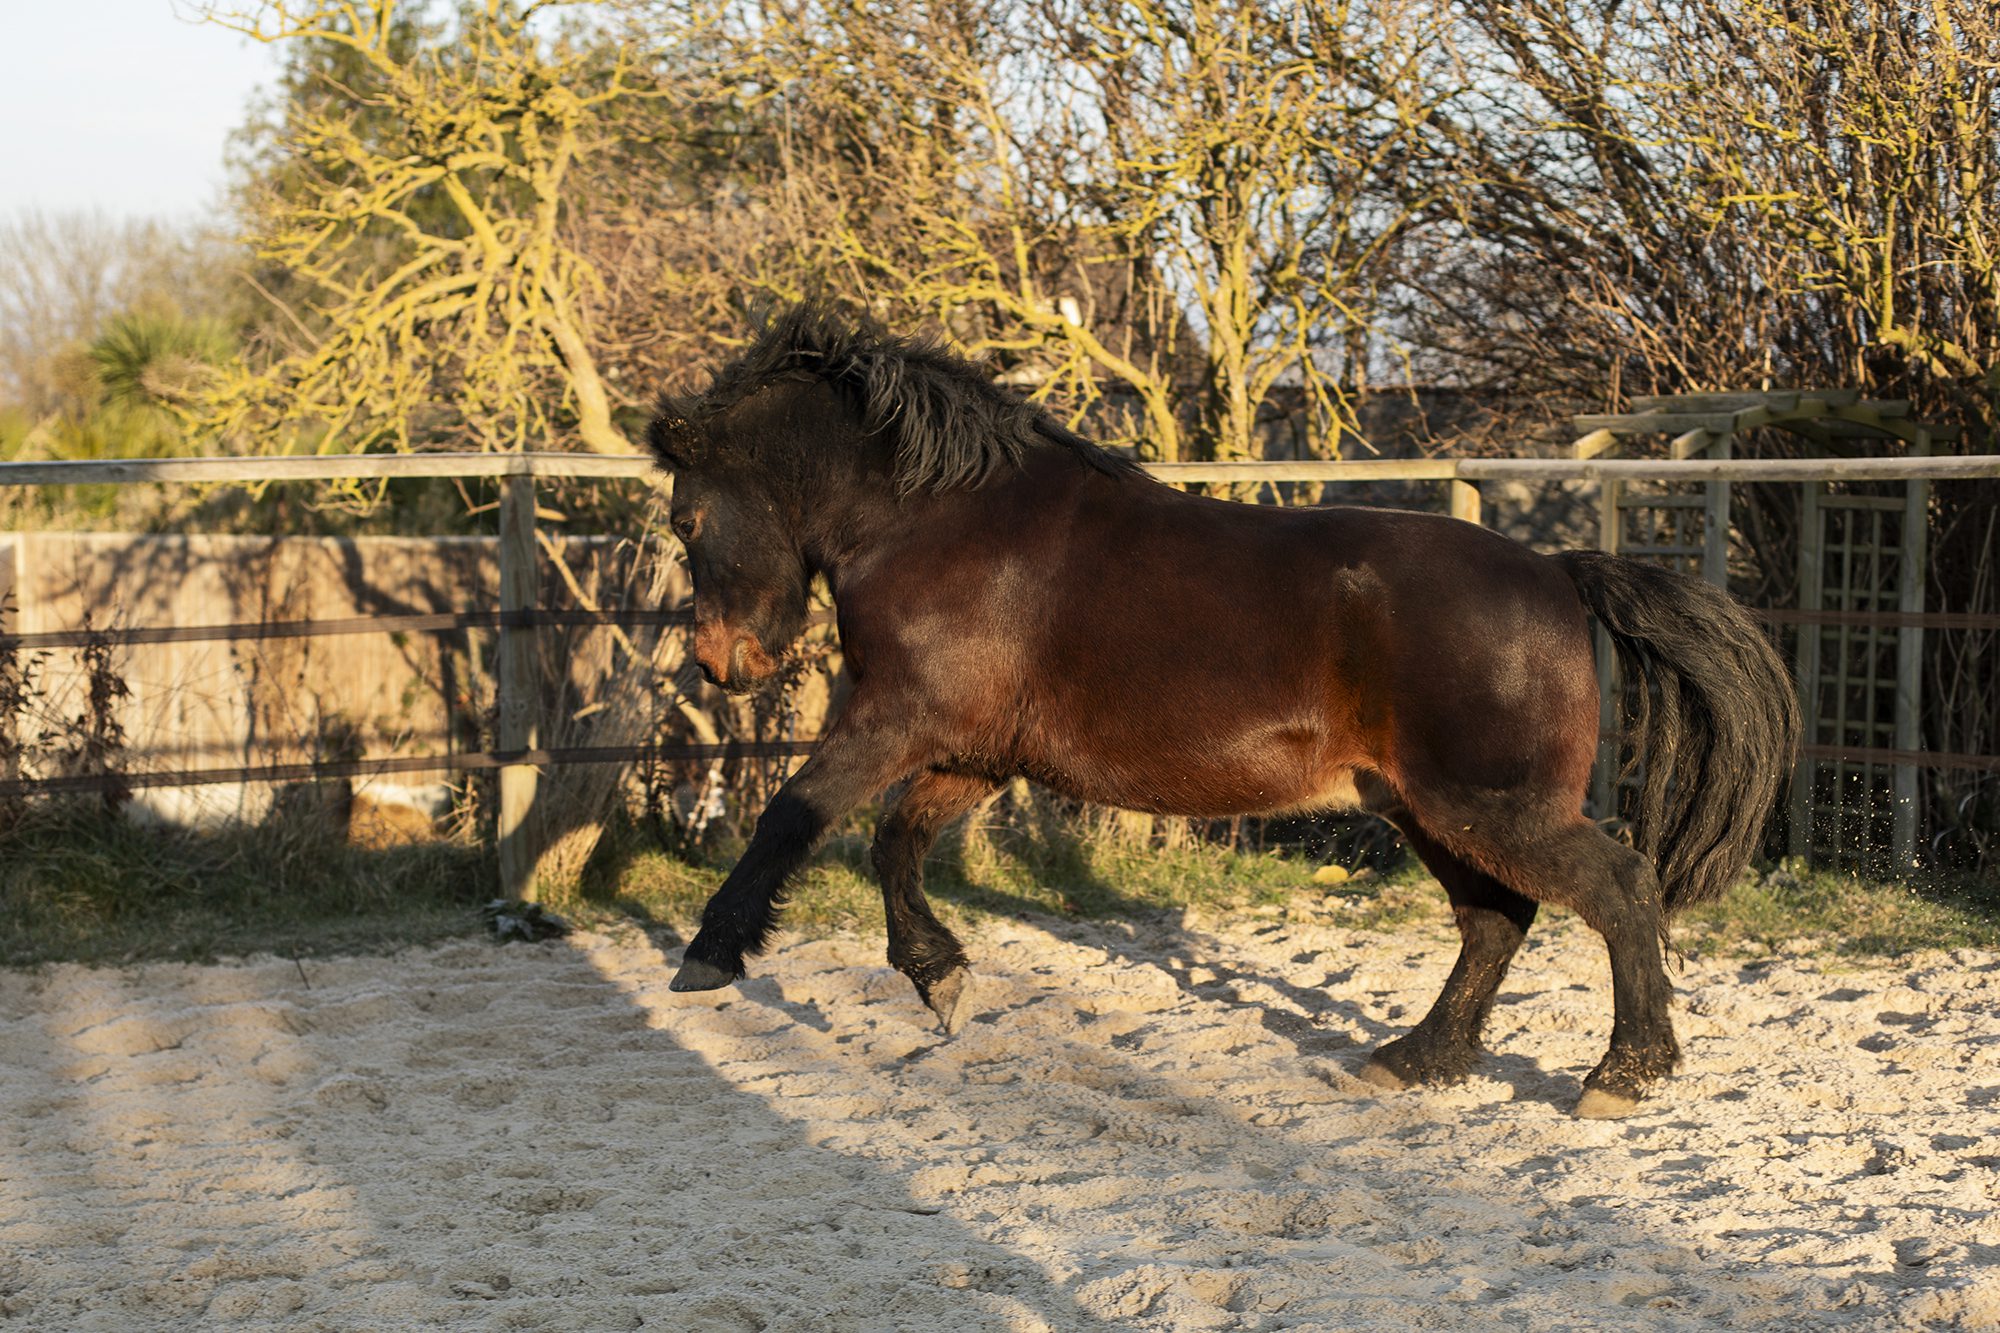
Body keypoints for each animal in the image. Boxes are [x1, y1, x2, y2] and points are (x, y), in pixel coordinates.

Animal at [646, 302, 1799, 1119]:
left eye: (686, 518)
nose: (719, 664)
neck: (942, 524)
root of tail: (1559, 572)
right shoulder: (966, 753)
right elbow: (893, 842)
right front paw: (940, 979)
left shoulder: (892, 721)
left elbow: (791, 817)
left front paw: (709, 957)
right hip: (1425, 807)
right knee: (1495, 922)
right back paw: (1413, 1061)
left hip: (1492, 804)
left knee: (1617, 888)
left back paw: (1620, 1075)